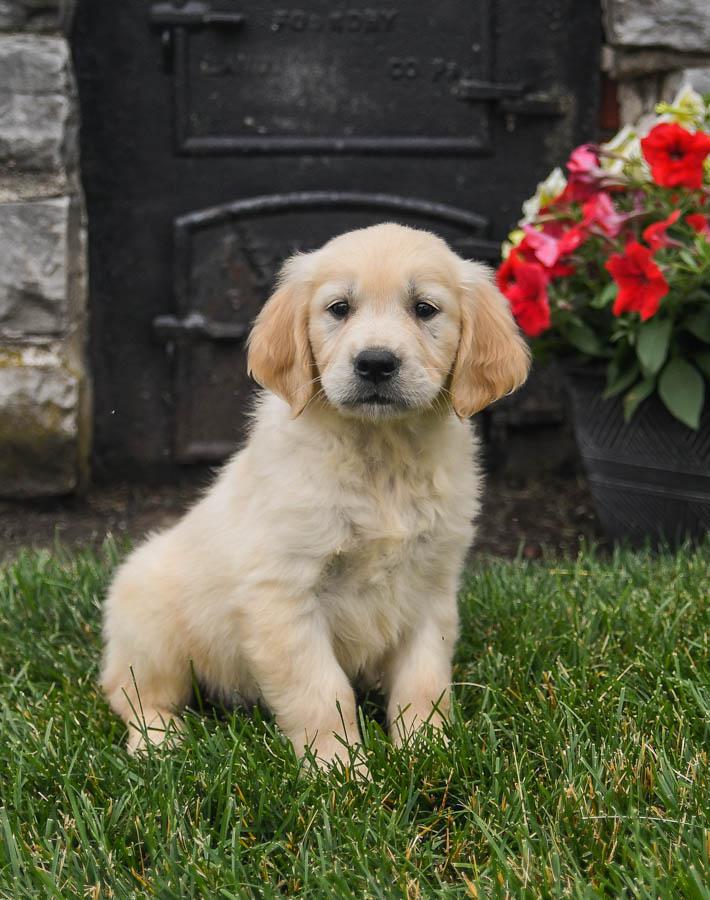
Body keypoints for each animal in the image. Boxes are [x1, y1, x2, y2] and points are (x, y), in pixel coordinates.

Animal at [103, 221, 532, 764]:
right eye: (339, 308)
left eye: (425, 309)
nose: (375, 363)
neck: (380, 453)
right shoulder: (285, 592)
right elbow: (322, 693)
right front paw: (339, 768)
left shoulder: (431, 585)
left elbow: (424, 680)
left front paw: (426, 752)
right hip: (150, 623)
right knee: (130, 692)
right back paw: (160, 740)